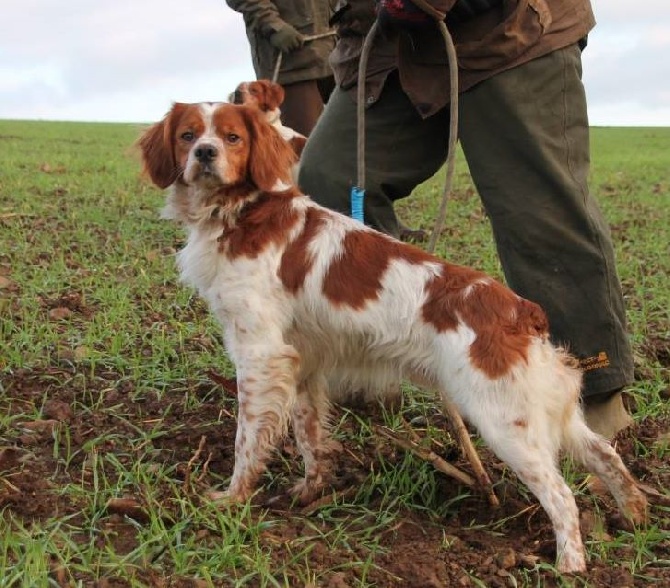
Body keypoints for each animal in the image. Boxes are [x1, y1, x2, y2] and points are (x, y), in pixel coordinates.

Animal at [139, 101, 648, 576]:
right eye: (188, 135)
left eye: (232, 137)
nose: (205, 154)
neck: (241, 211)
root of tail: (519, 310)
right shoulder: (301, 361)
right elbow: (308, 435)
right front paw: (310, 490)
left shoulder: (260, 353)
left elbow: (248, 438)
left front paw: (231, 498)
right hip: (544, 411)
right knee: (604, 454)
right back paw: (635, 514)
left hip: (504, 420)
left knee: (563, 496)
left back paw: (570, 566)